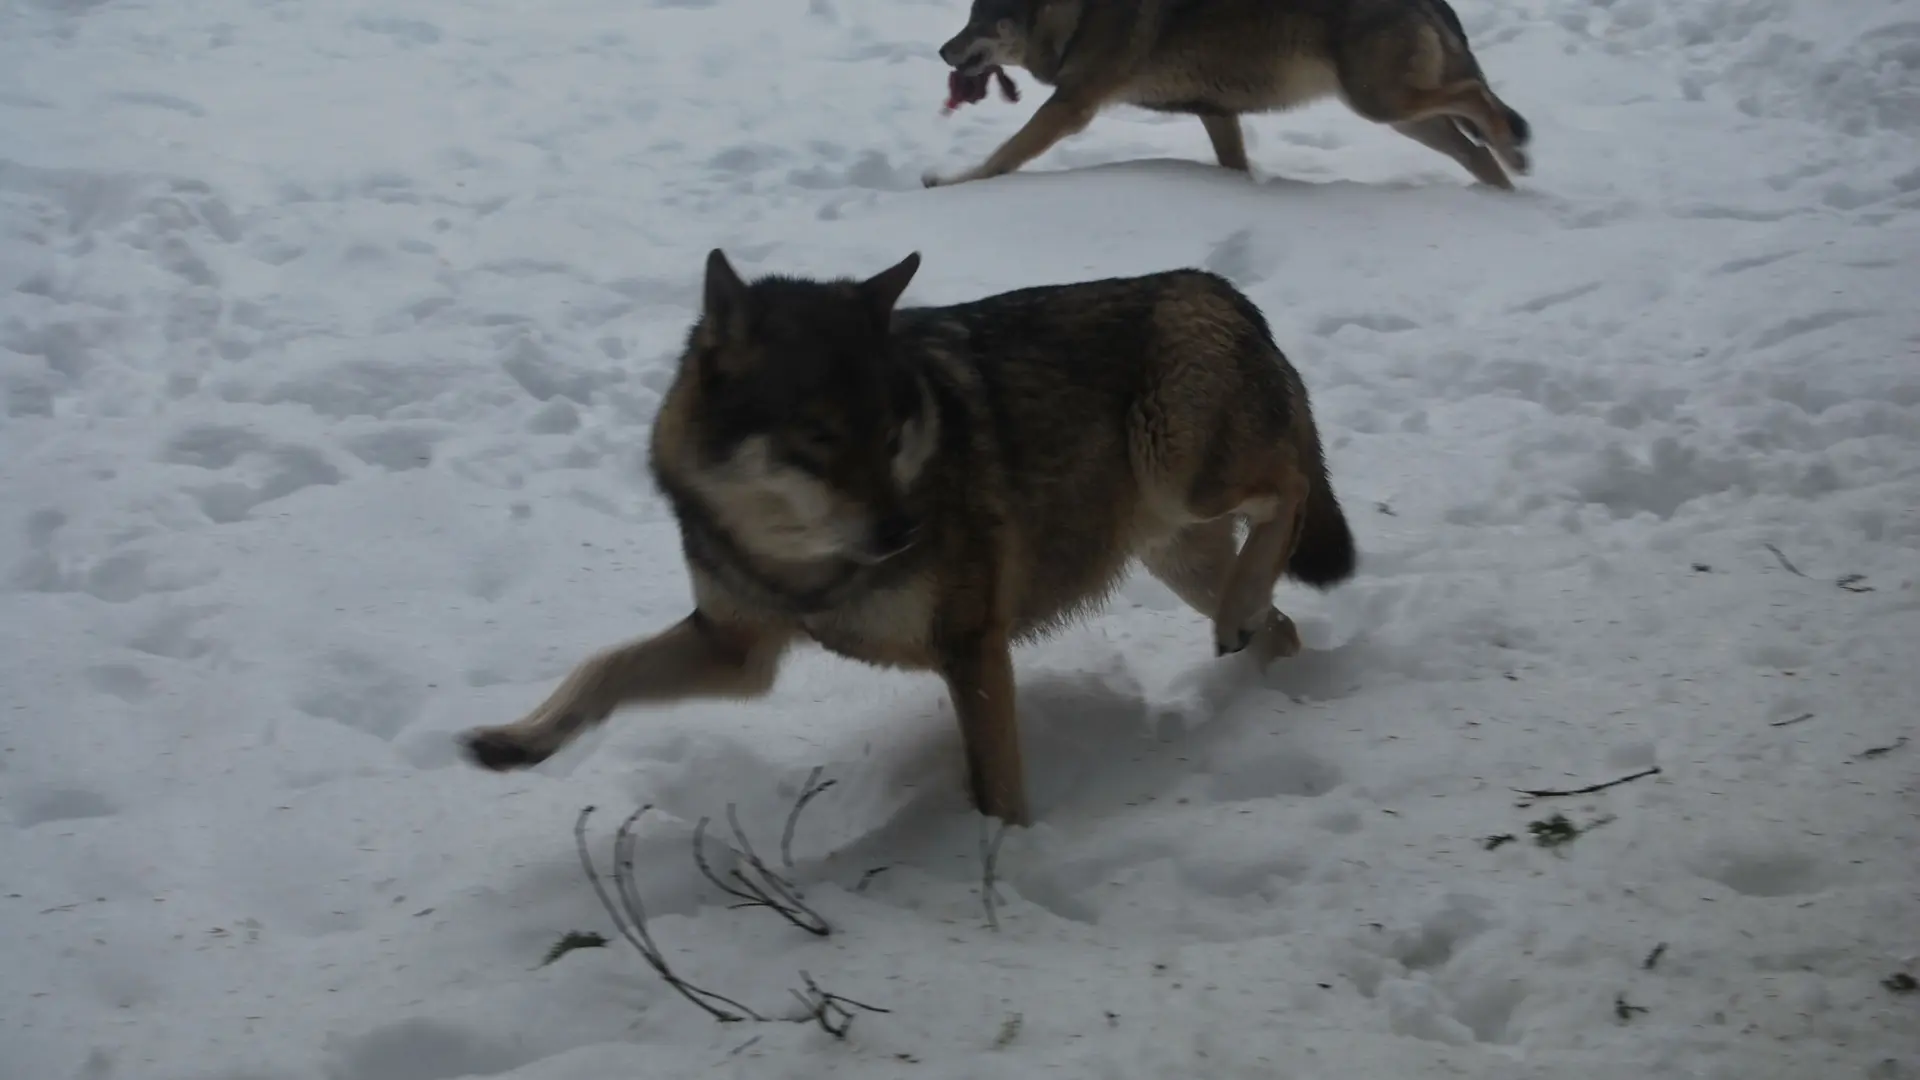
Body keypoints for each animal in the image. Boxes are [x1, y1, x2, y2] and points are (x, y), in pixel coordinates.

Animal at [459, 251, 1357, 827]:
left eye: (890, 431)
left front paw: (1005, 869)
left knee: (1290, 490)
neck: (802, 565)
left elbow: (997, 789)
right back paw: (1263, 682)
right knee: (1279, 614)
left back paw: (1250, 634)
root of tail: (1221, 286)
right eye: (819, 437)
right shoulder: (737, 649)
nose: (904, 531)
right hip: (1175, 549)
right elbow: (602, 666)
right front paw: (516, 741)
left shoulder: (970, 645)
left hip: (1180, 474)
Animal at [926, 0, 1531, 190]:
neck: (1076, 10)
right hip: (1401, 115)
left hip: (1381, 104)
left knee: (1477, 97)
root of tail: (1432, 2)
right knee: (1475, 150)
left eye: (977, 19)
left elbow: (1003, 156)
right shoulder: (1216, 113)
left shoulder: (1072, 106)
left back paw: (1514, 153)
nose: (942, 50)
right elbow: (1235, 166)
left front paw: (949, 182)